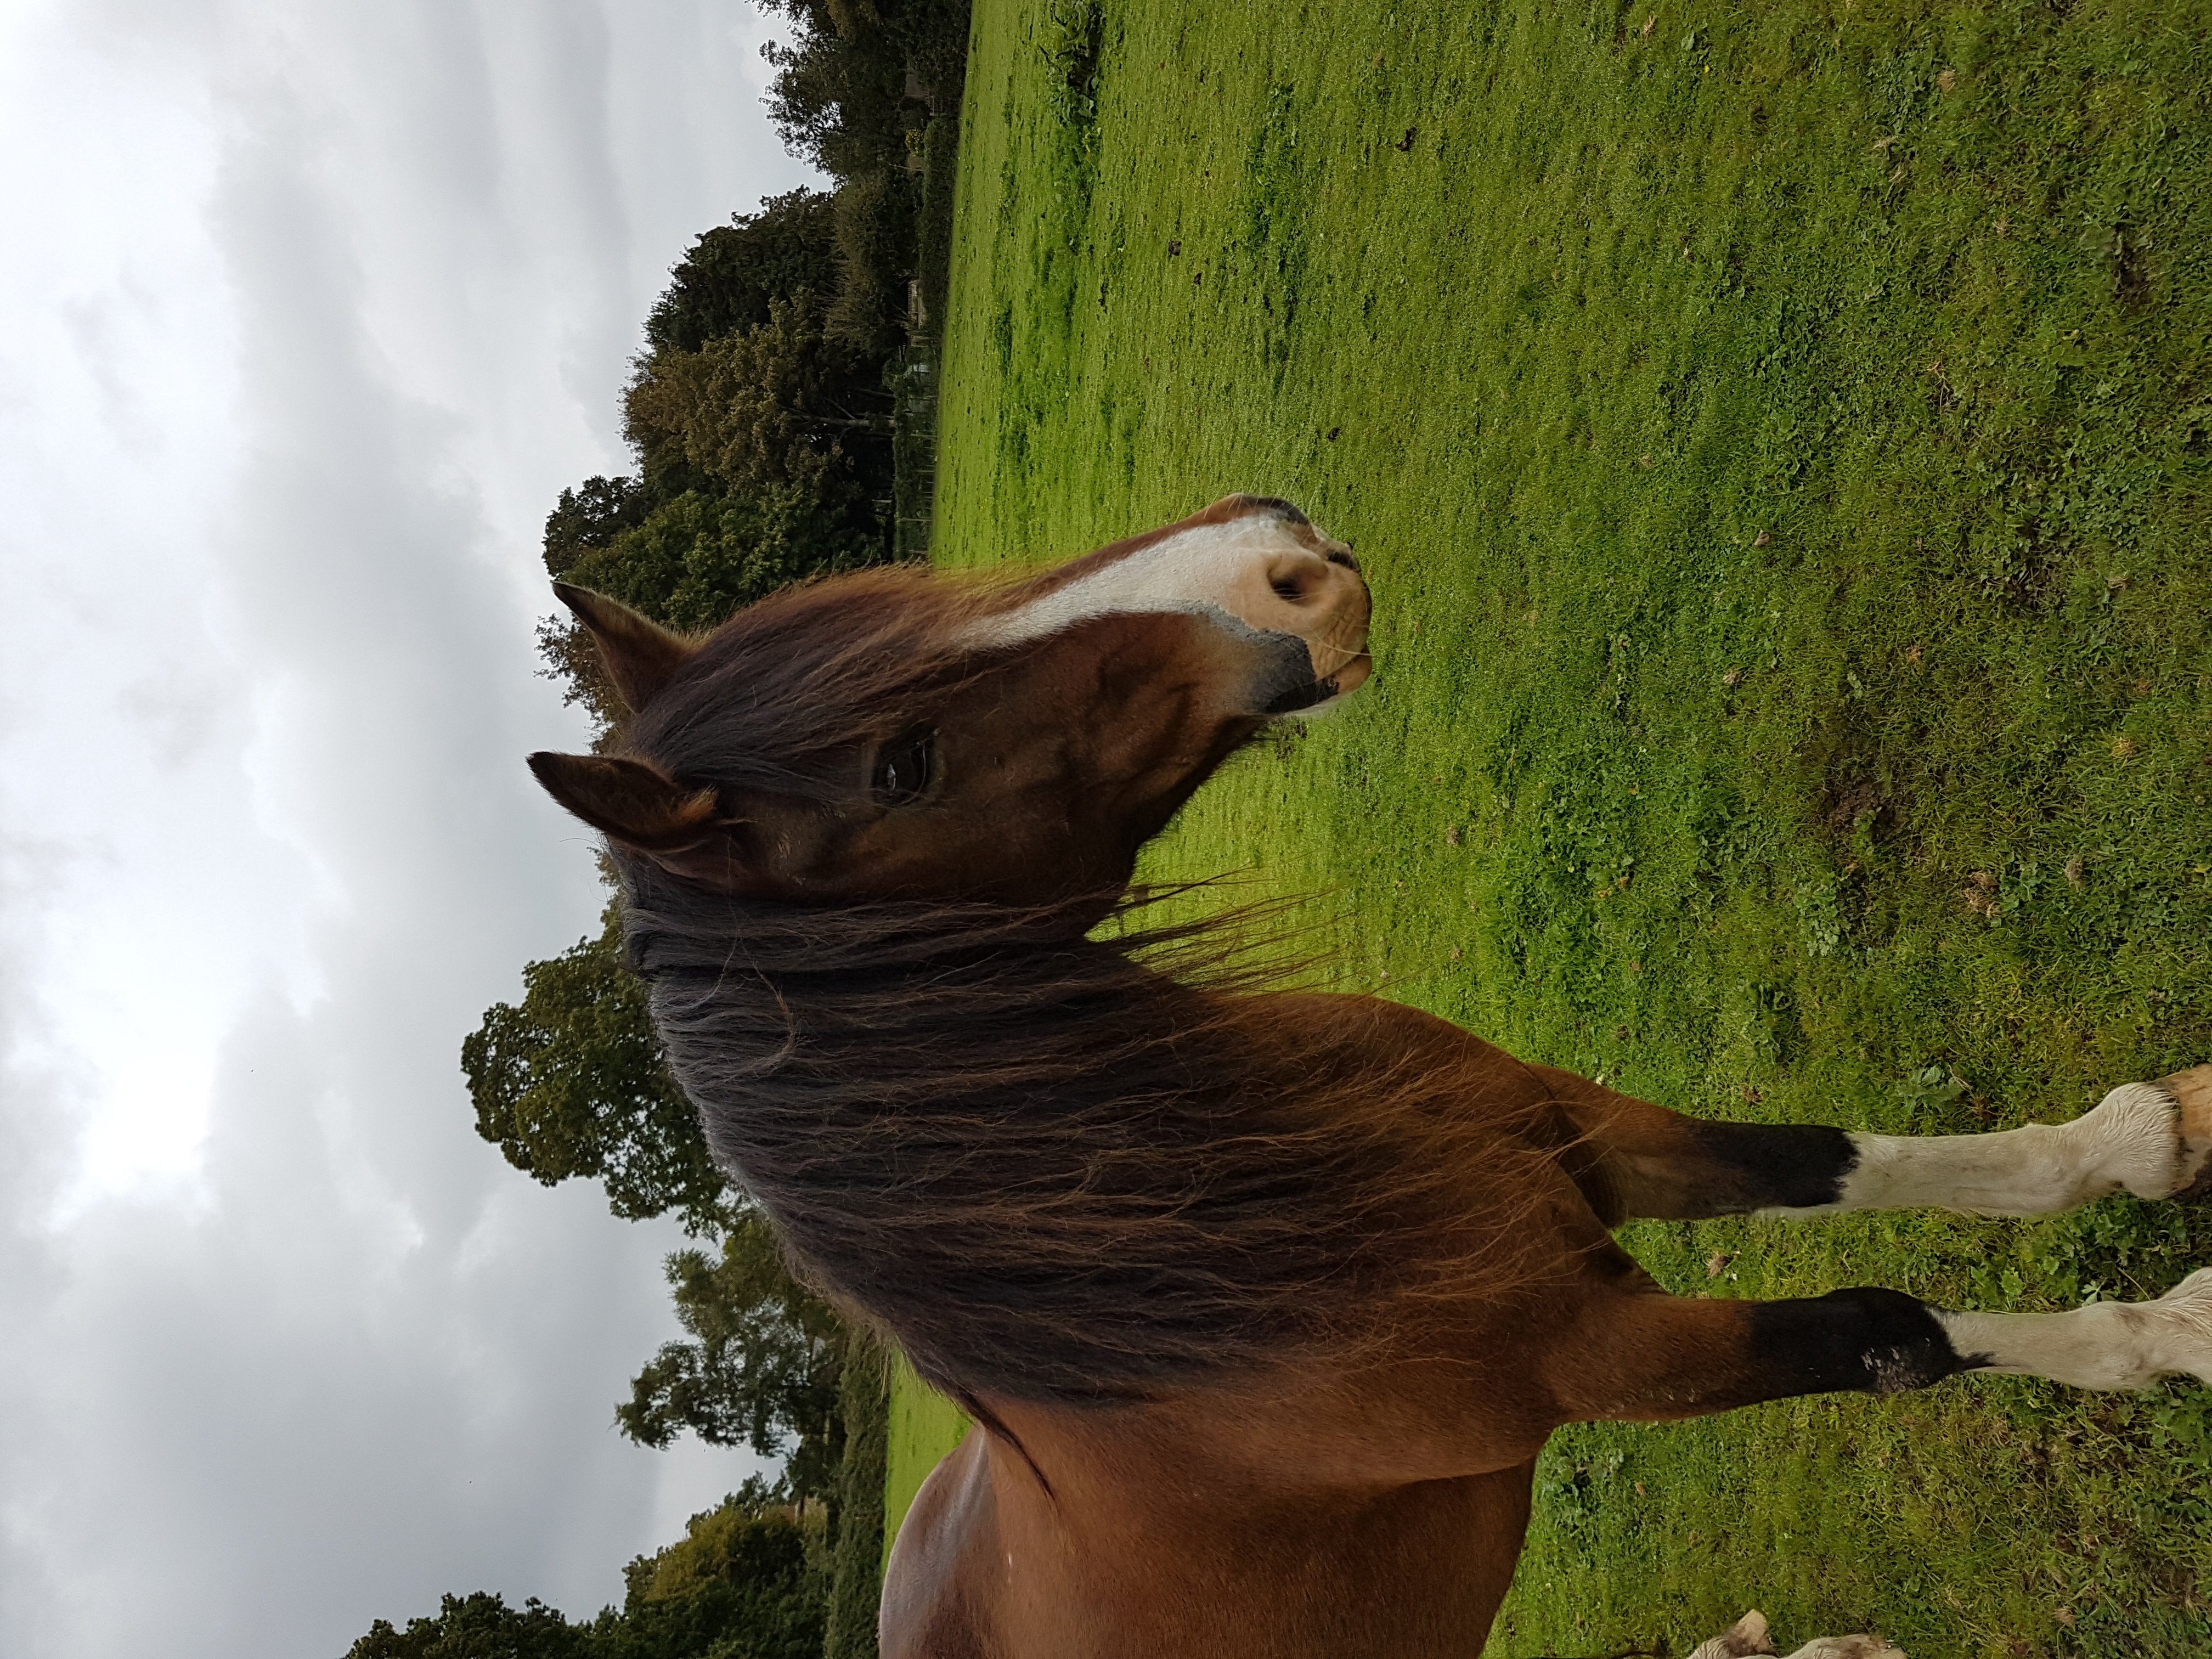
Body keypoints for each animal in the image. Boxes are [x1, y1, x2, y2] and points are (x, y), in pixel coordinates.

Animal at [527, 493, 2212, 1659]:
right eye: (903, 764)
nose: (1277, 556)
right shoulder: (1607, 1359)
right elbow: (1893, 1332)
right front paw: (2176, 1334)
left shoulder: (1579, 1135)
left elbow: (1827, 1159)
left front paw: (2145, 1136)